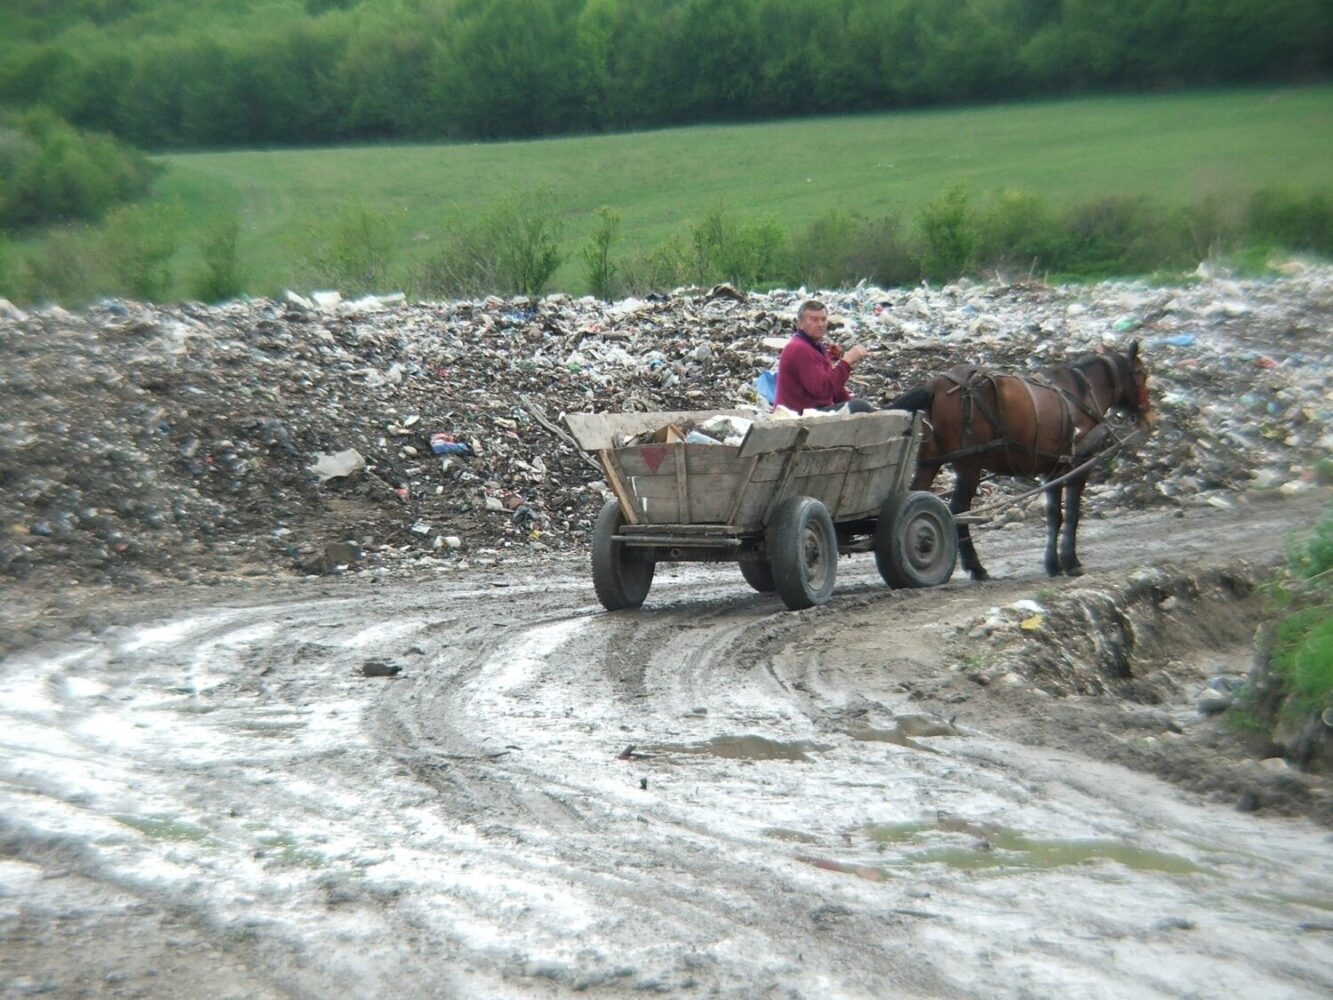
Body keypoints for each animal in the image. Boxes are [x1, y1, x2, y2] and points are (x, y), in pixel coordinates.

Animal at [885, 344, 1157, 578]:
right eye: (1143, 374)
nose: (1150, 417)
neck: (1082, 392)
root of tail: (935, 385)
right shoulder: (1078, 466)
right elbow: (1072, 514)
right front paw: (1071, 562)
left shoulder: (1053, 470)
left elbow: (1054, 516)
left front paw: (1053, 564)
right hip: (969, 465)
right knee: (957, 510)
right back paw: (975, 567)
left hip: (929, 462)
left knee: (913, 499)